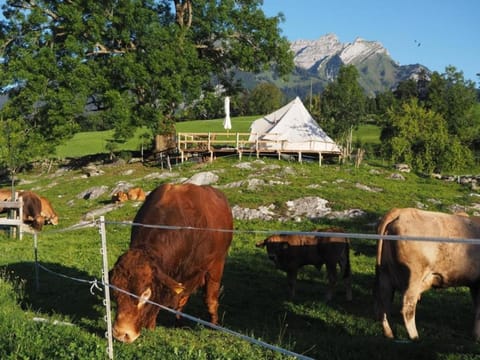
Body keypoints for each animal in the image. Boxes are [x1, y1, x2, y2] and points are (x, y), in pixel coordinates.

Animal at [110, 183, 234, 344]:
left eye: (145, 294)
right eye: (115, 290)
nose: (120, 334)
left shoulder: (215, 265)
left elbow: (210, 299)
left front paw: (213, 325)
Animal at [376, 208, 480, 340]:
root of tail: (401, 211)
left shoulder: (475, 284)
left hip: (385, 274)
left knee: (384, 302)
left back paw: (389, 334)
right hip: (413, 276)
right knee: (407, 307)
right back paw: (415, 337)